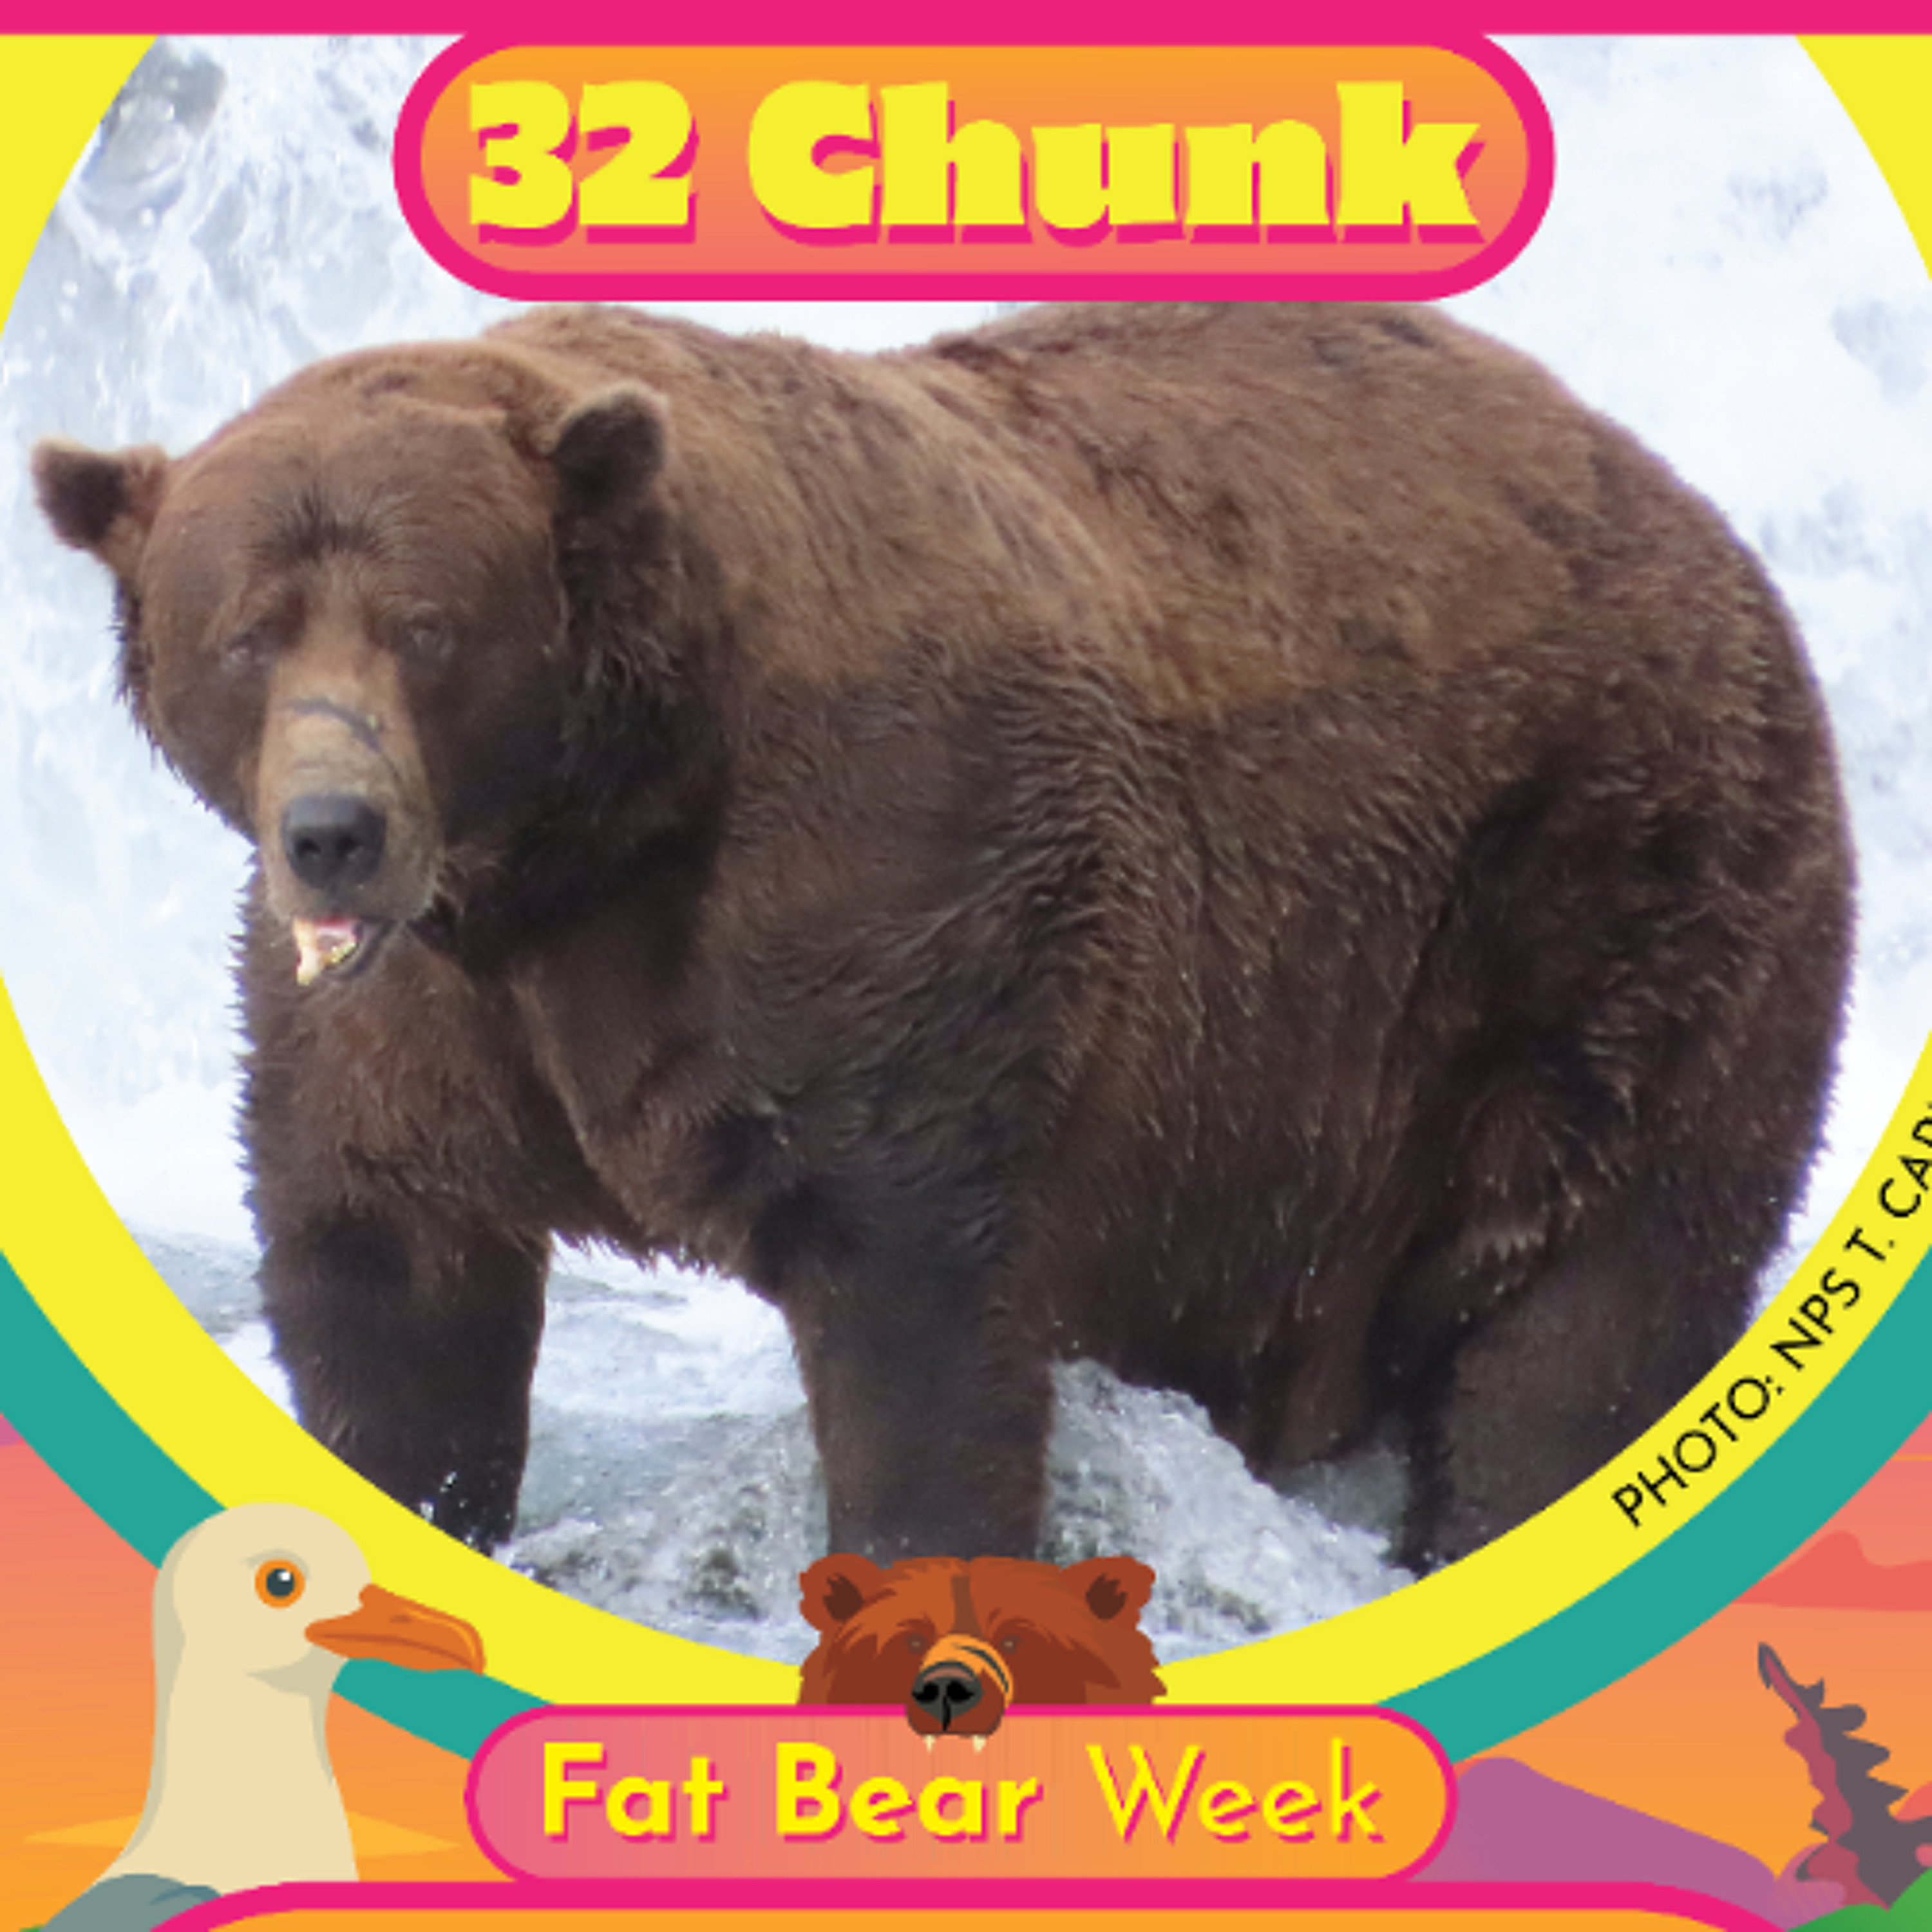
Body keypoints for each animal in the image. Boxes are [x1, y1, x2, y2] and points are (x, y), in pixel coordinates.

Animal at [31, 302, 1853, 1576]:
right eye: (247, 631)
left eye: (428, 626)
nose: (334, 827)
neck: (580, 848)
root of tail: (1694, 515)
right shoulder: (418, 1021)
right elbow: (388, 1278)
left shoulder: (886, 892)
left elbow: (916, 1306)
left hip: (1608, 901)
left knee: (1586, 1312)